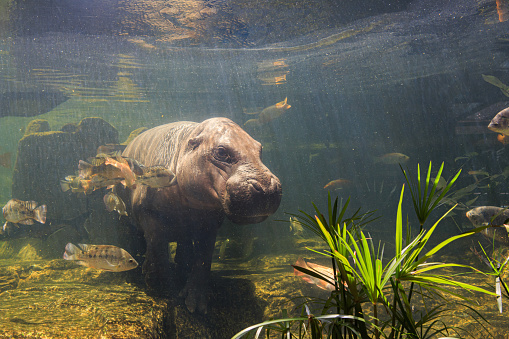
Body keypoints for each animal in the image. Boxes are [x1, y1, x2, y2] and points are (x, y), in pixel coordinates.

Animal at [122, 117, 282, 314]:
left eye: (259, 148)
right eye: (221, 151)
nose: (267, 188)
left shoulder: (209, 222)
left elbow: (204, 258)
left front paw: (196, 306)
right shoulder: (149, 214)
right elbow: (157, 246)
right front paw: (158, 287)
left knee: (184, 244)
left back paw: (182, 264)